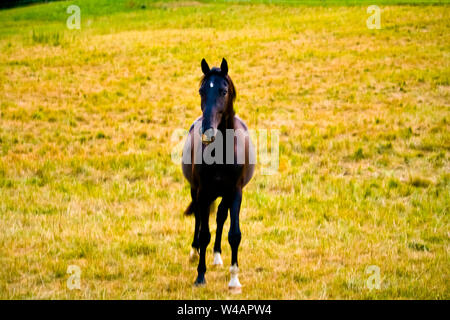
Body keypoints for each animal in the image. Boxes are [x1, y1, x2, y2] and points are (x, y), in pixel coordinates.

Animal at [181, 57, 255, 292]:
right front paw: (200, 276)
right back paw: (194, 251)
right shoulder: (203, 192)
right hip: (196, 191)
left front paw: (234, 279)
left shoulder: (236, 192)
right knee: (199, 218)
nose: (207, 132)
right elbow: (204, 232)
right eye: (201, 91)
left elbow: (234, 234)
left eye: (223, 91)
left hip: (225, 194)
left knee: (221, 216)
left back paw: (216, 255)